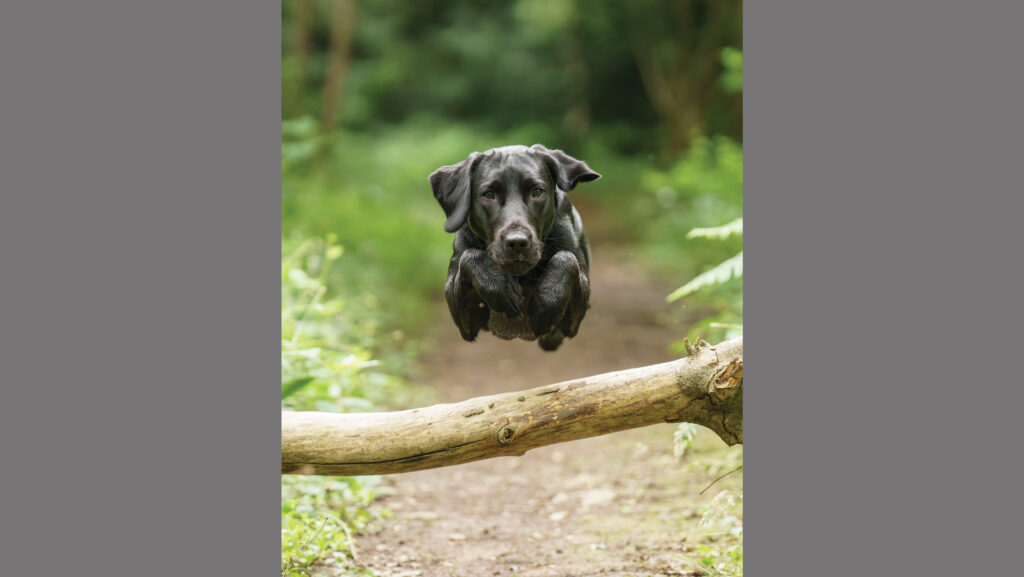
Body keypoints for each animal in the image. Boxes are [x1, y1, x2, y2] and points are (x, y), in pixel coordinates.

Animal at [430, 144, 598, 352]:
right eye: (489, 194)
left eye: (536, 191)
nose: (517, 241)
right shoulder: (462, 315)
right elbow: (469, 256)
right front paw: (502, 290)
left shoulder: (574, 317)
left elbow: (566, 258)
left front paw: (546, 304)